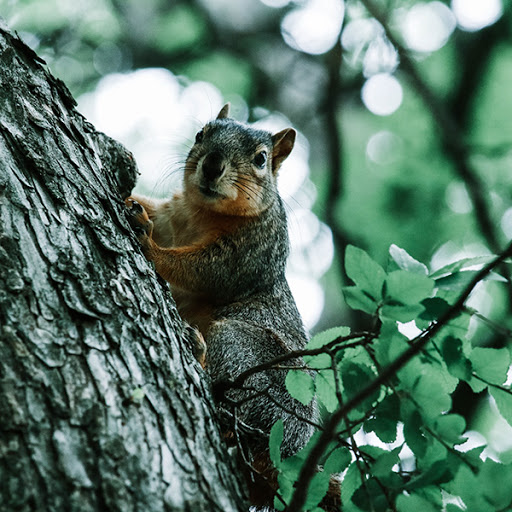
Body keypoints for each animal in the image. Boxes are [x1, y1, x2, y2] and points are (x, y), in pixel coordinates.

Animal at [125, 106, 322, 510]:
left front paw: (151, 248)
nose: (213, 164)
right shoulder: (171, 218)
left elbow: (201, 270)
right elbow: (155, 214)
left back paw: (198, 351)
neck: (202, 212)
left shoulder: (246, 253)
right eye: (201, 134)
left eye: (261, 159)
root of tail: (284, 456)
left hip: (245, 356)